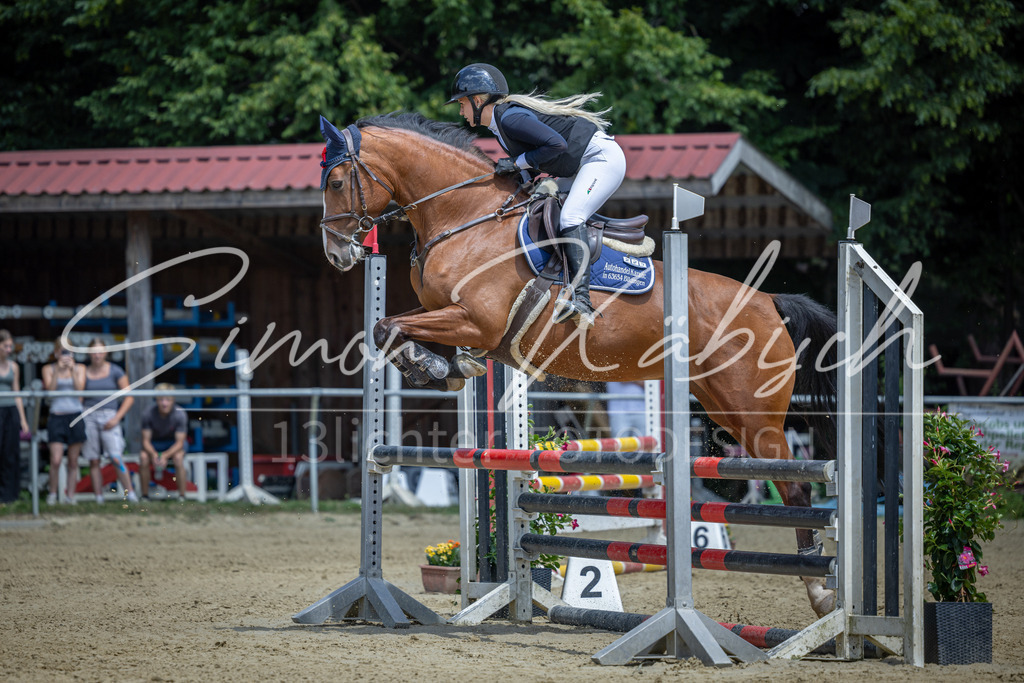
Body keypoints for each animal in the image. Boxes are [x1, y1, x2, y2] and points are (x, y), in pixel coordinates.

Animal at [317, 112, 839, 617]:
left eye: (337, 181)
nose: (337, 254)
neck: (465, 218)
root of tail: (769, 301)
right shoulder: (449, 316)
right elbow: (387, 327)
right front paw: (445, 368)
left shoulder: (475, 322)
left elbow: (389, 328)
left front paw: (435, 367)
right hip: (722, 404)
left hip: (755, 412)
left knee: (797, 489)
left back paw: (821, 592)